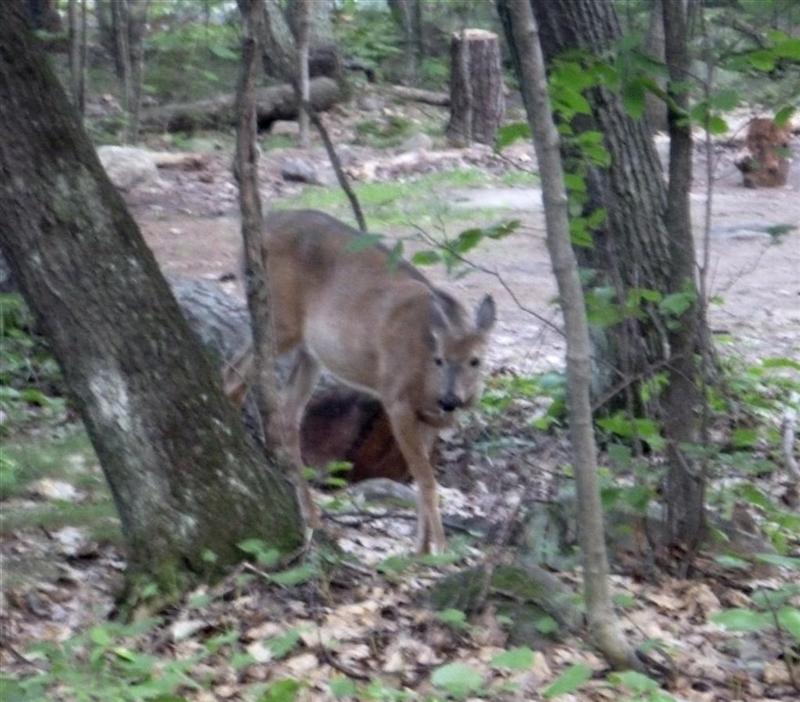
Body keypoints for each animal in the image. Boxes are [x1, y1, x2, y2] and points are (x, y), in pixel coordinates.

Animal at [223, 209, 494, 556]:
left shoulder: (428, 419)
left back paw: (312, 519)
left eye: (476, 360)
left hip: (310, 352)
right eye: (440, 359)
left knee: (287, 415)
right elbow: (427, 481)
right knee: (233, 376)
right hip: (278, 322)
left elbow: (420, 480)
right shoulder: (396, 399)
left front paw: (421, 549)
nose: (452, 400)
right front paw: (441, 551)